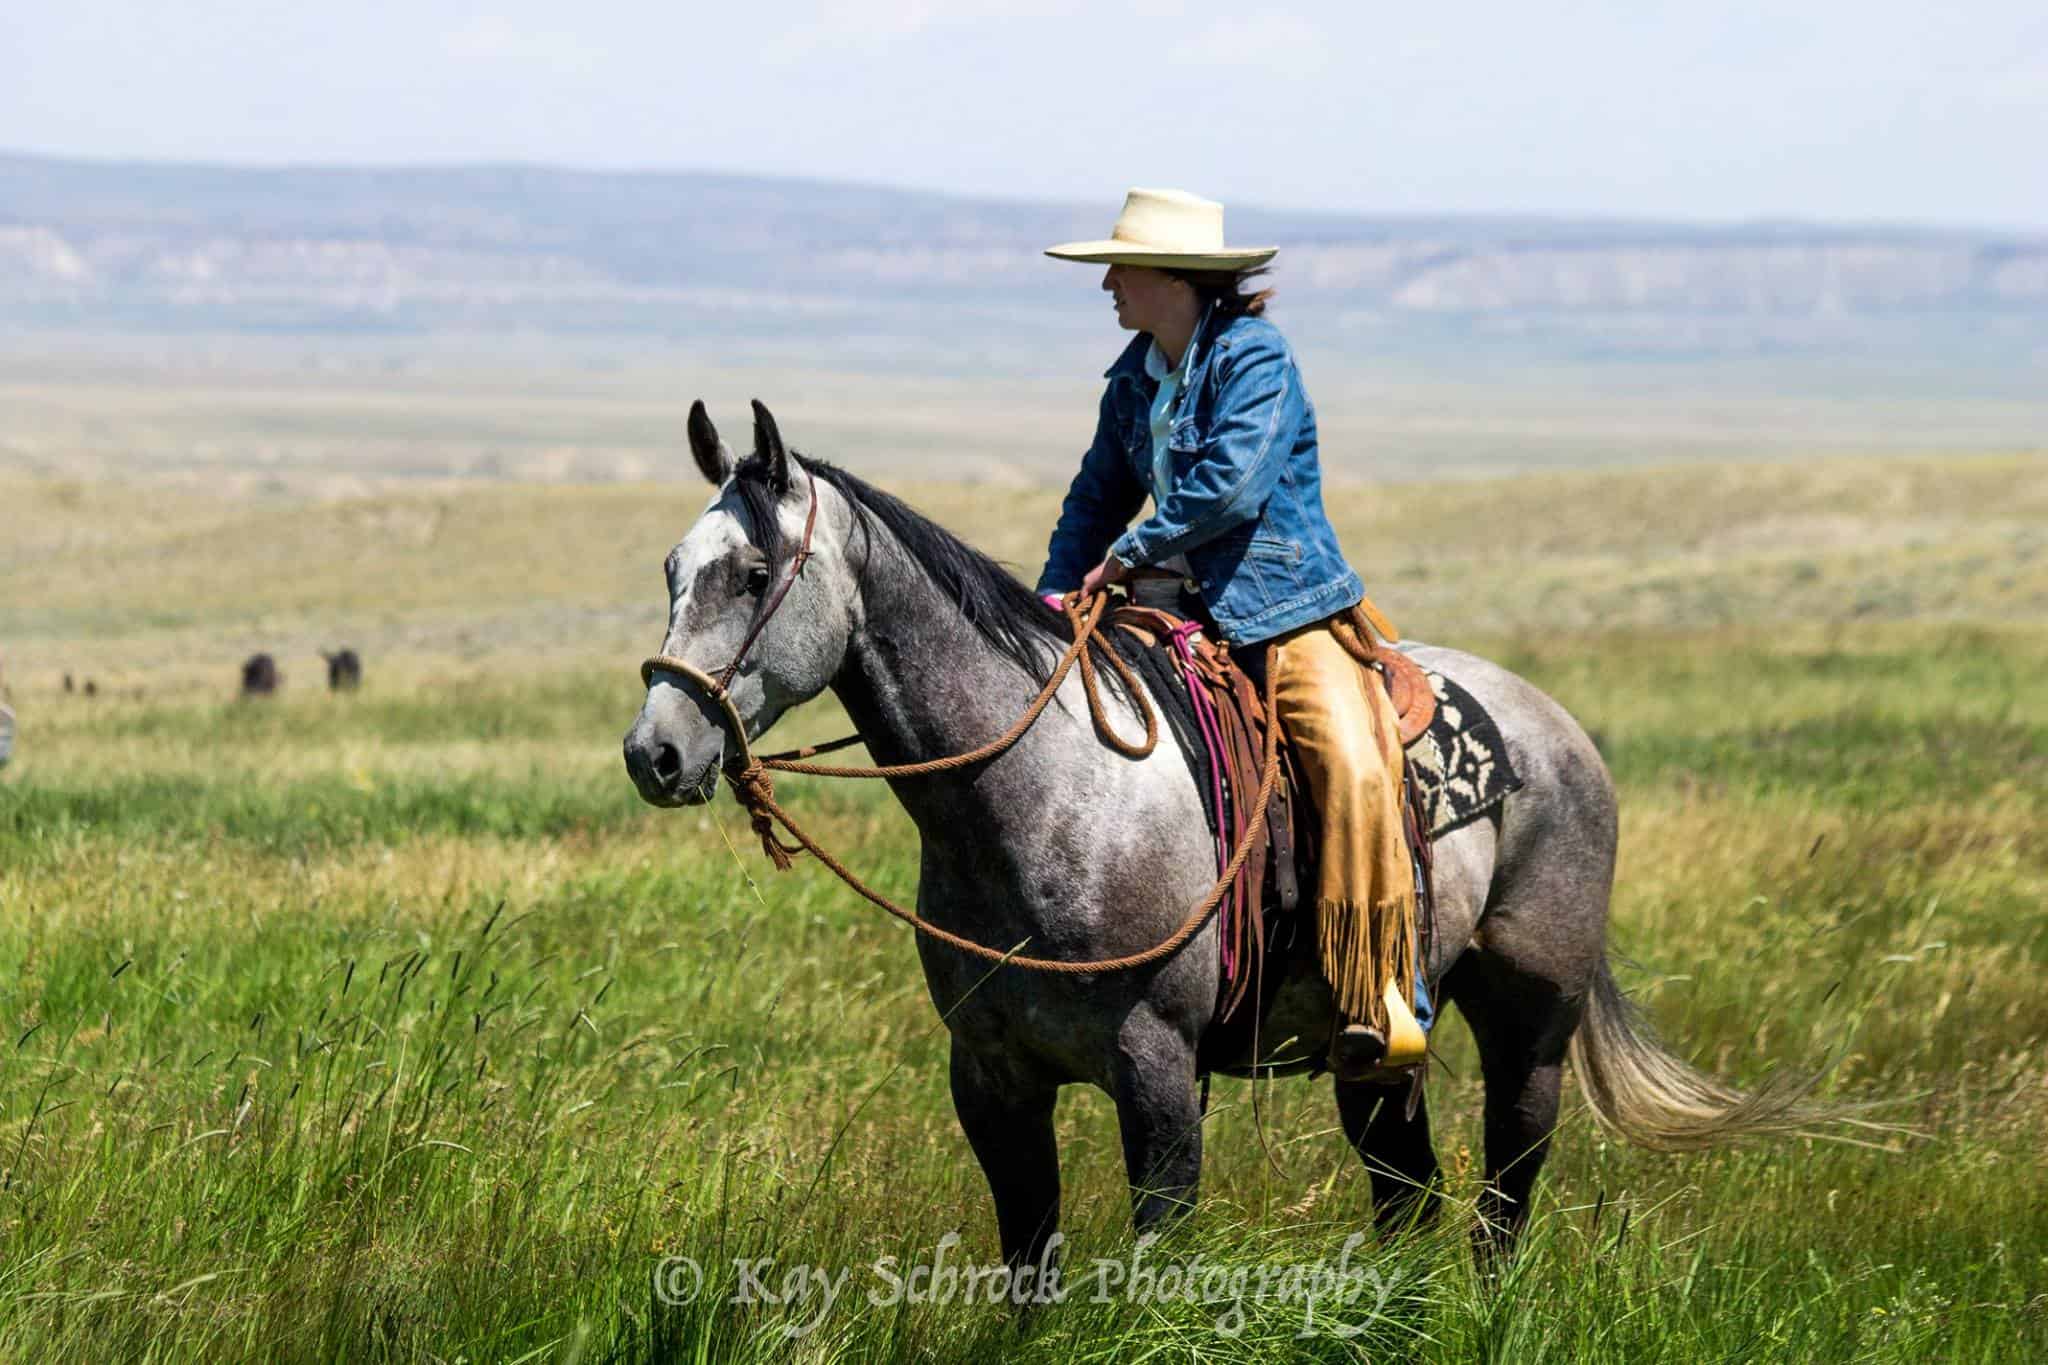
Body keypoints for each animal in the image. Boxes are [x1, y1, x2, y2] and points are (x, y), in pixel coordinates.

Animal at [622, 401, 1843, 1277]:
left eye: (752, 573)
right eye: (671, 570)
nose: (656, 752)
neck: (1043, 799)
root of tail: (1560, 730)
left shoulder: (1157, 1066)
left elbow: (1159, 1251)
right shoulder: (991, 1076)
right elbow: (1029, 1259)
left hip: (1530, 1019)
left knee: (1505, 1189)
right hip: (1379, 1043)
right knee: (1408, 1192)